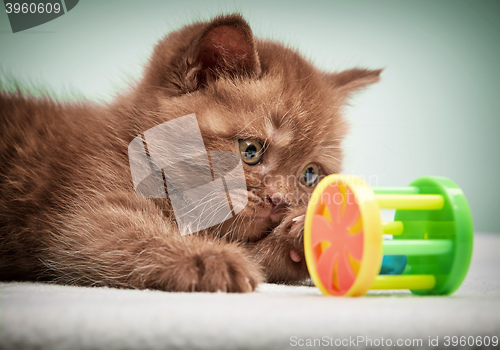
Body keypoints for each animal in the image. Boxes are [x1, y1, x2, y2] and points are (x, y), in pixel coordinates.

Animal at [0, 14, 380, 292]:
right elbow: (127, 236)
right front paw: (208, 259)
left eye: (309, 174)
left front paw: (296, 241)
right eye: (251, 150)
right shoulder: (86, 210)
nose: (280, 201)